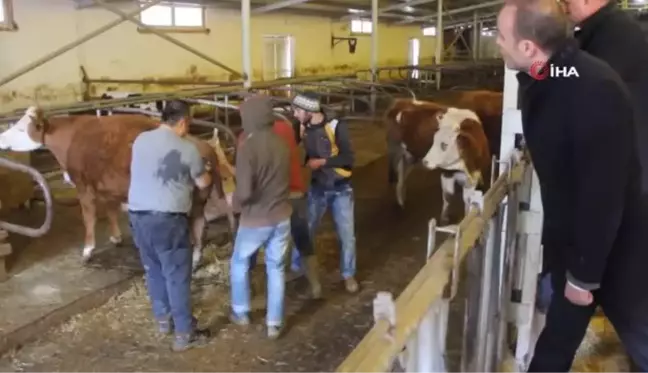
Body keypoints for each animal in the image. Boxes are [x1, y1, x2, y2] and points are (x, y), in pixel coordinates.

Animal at [0, 107, 235, 268]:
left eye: (20, 128)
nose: (1, 138)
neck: (71, 138)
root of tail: (203, 145)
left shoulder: (84, 185)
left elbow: (89, 217)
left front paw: (88, 250)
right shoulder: (106, 184)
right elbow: (110, 210)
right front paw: (116, 237)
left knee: (196, 225)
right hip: (199, 199)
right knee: (199, 223)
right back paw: (195, 259)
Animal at [384, 92, 502, 224]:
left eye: (444, 145)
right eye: (433, 140)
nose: (426, 161)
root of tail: (402, 101)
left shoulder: (473, 177)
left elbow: (467, 199)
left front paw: (466, 217)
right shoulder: (446, 172)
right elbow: (448, 195)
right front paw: (444, 218)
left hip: (410, 156)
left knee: (402, 175)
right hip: (397, 151)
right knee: (398, 175)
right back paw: (400, 201)